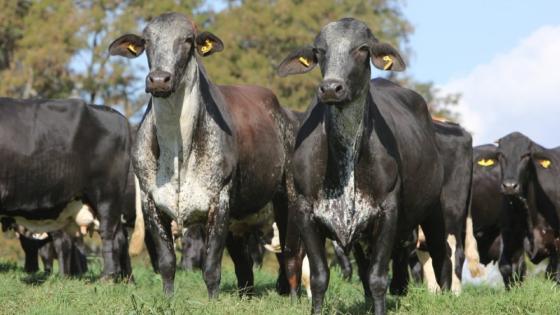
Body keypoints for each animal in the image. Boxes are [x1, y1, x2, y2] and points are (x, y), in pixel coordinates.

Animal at [110, 12, 302, 298]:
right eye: (147, 41)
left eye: (188, 40)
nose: (159, 79)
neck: (177, 149)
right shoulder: (150, 201)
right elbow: (167, 262)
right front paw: (168, 299)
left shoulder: (219, 201)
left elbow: (211, 266)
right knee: (245, 264)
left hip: (286, 201)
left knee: (290, 253)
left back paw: (292, 294)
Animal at [278, 18, 452, 314]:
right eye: (319, 51)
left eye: (362, 48)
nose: (330, 88)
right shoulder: (305, 212)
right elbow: (319, 278)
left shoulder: (388, 211)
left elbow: (378, 278)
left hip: (435, 211)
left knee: (442, 256)